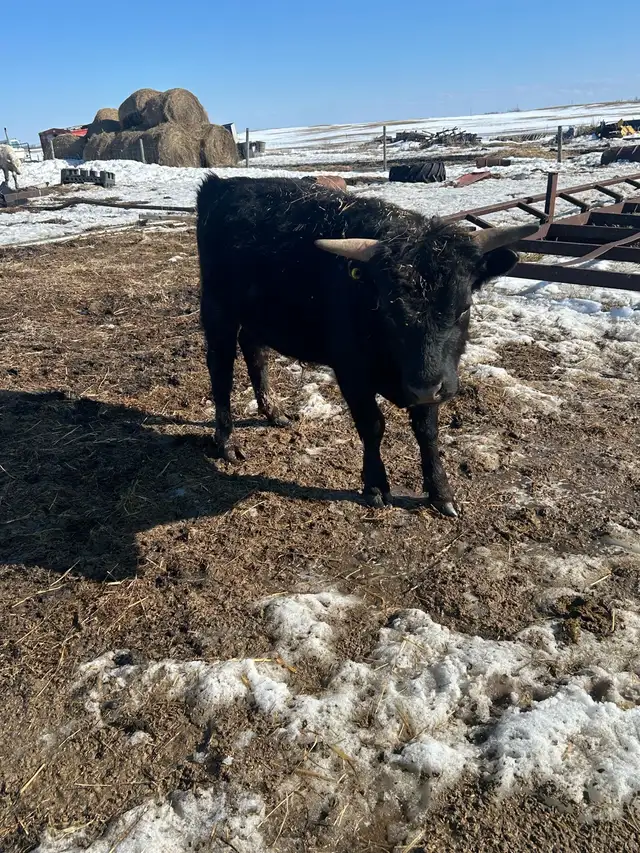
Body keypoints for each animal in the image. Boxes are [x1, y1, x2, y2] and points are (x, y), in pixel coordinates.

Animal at [196, 175, 535, 516]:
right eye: (387, 308)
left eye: (464, 308)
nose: (425, 386)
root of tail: (222, 184)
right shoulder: (352, 372)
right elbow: (372, 425)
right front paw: (376, 486)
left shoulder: (433, 379)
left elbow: (427, 430)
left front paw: (441, 493)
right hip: (217, 309)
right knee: (220, 368)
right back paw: (227, 442)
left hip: (256, 314)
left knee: (255, 351)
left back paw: (274, 412)